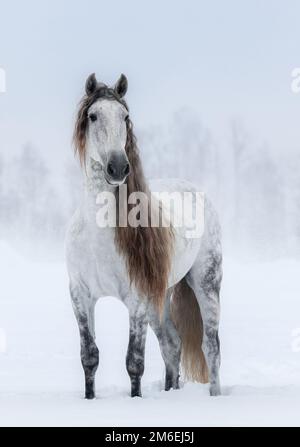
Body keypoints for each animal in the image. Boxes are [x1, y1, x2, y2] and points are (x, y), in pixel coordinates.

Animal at [66, 73, 223, 400]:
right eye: (93, 115)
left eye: (125, 116)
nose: (118, 167)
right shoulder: (80, 296)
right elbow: (89, 357)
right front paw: (89, 400)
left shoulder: (136, 298)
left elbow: (134, 361)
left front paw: (136, 401)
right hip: (160, 299)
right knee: (172, 344)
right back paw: (170, 391)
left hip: (206, 283)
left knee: (211, 346)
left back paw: (215, 397)